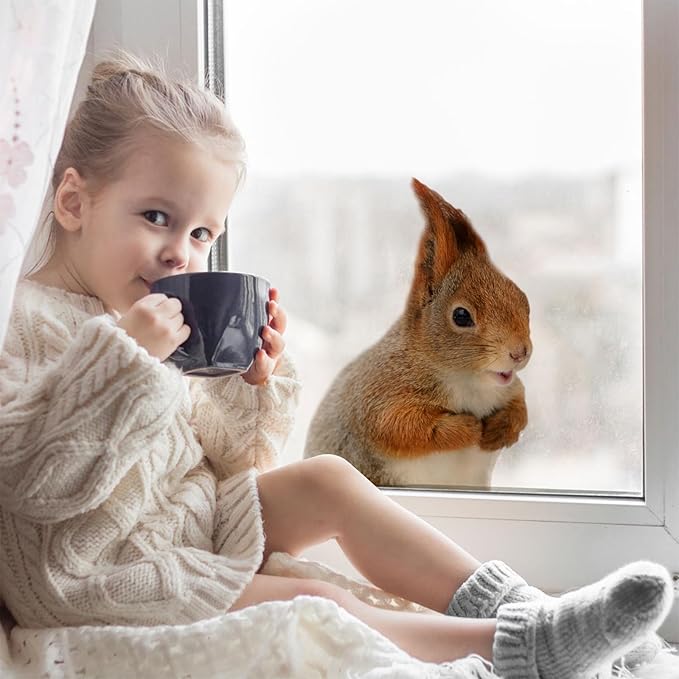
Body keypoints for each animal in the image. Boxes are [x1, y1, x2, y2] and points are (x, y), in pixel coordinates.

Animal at [303, 178, 531, 489]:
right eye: (461, 316)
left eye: (523, 298)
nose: (520, 352)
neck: (468, 381)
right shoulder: (381, 395)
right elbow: (403, 428)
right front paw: (468, 428)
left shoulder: (509, 388)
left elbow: (521, 407)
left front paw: (501, 427)